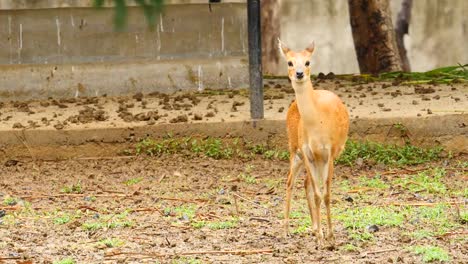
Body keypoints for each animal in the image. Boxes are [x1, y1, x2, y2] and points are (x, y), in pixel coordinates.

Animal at [278, 39, 352, 245]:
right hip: (293, 147)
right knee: (291, 181)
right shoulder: (307, 151)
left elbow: (326, 194)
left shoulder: (330, 153)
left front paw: (330, 235)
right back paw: (286, 230)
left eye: (308, 61)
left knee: (305, 183)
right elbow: (319, 194)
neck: (318, 124)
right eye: (289, 62)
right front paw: (321, 237)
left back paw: (314, 227)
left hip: (314, 159)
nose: (299, 73)